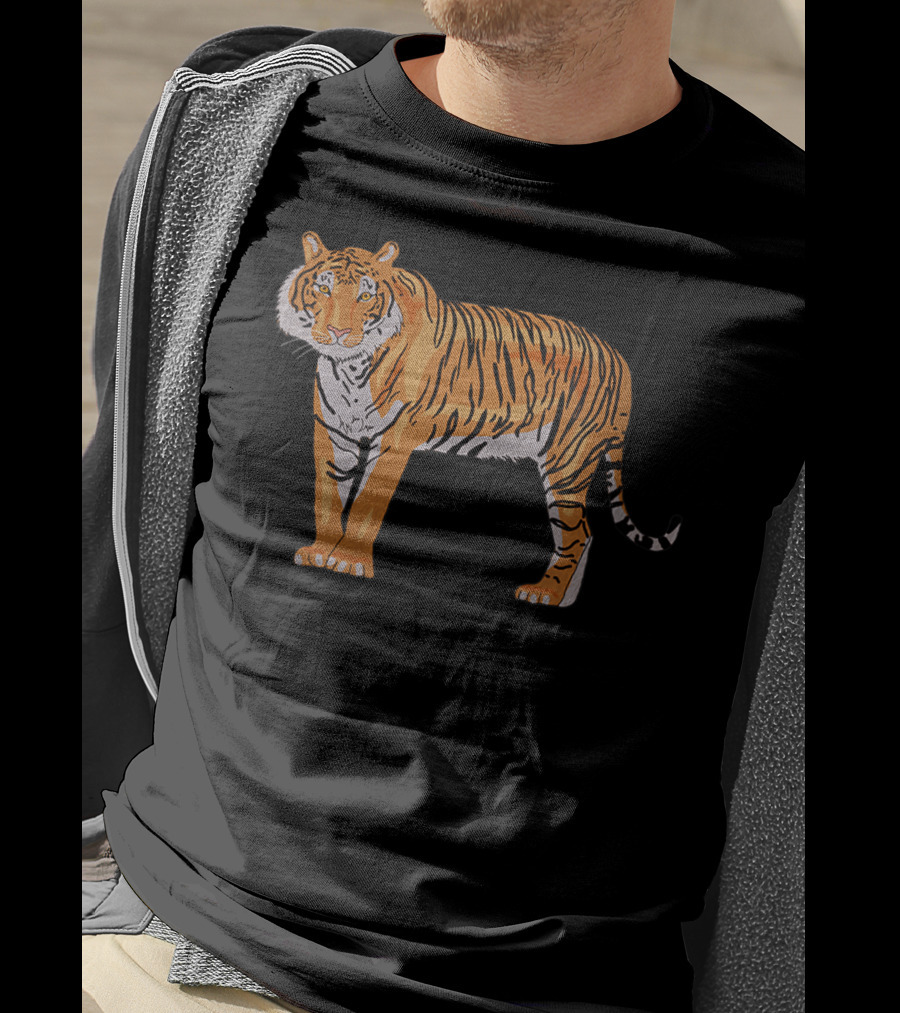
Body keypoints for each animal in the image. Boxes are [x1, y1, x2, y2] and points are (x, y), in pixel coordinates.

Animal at [276, 231, 681, 608]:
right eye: (323, 288)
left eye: (364, 296)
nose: (338, 333)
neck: (350, 368)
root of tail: (619, 359)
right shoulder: (332, 432)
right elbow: (328, 496)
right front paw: (319, 554)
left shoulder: (393, 440)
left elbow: (365, 506)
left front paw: (348, 561)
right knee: (582, 533)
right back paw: (559, 597)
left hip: (568, 459)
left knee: (578, 533)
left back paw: (545, 594)